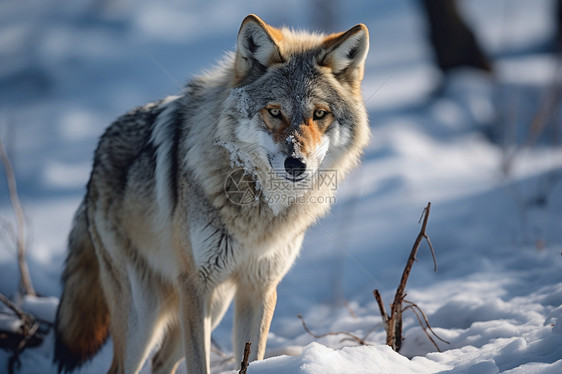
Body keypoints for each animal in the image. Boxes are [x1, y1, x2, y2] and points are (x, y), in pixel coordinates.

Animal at [52, 13, 368, 372]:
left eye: (319, 114)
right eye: (274, 112)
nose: (296, 164)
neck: (257, 209)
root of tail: (95, 158)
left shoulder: (259, 288)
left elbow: (252, 356)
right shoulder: (196, 285)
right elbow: (199, 363)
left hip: (213, 305)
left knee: (160, 362)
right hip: (144, 317)